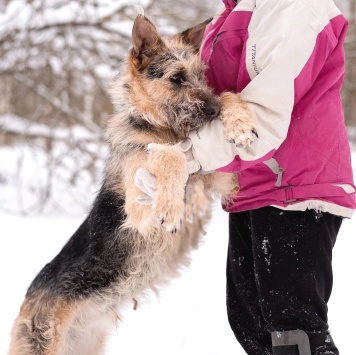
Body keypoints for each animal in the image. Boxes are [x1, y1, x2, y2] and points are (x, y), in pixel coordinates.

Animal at [8, 14, 256, 355]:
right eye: (177, 78)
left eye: (200, 75)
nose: (213, 111)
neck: (162, 128)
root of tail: (27, 299)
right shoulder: (139, 211)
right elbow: (168, 156)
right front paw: (170, 205)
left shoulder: (221, 179)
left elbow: (229, 101)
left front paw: (240, 123)